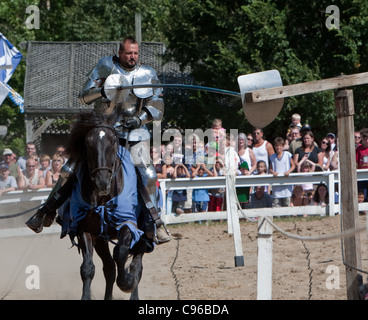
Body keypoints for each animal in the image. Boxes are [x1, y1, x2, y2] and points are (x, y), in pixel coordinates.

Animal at [63, 110, 148, 300]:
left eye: (113, 141)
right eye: (88, 142)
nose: (102, 182)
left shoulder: (128, 225)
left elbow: (121, 253)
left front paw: (126, 282)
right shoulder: (86, 230)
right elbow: (87, 268)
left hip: (144, 236)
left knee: (137, 265)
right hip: (101, 240)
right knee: (109, 267)